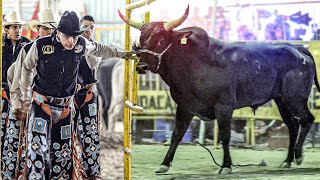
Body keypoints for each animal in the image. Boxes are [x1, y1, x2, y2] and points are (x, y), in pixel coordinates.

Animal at [119, 6, 320, 174]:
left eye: (161, 39)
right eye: (142, 39)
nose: (142, 66)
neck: (194, 62)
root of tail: (298, 48)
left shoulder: (224, 107)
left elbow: (225, 135)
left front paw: (226, 165)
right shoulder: (184, 107)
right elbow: (177, 134)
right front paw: (164, 164)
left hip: (296, 98)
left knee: (307, 120)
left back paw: (298, 156)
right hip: (282, 100)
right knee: (293, 126)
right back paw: (287, 160)